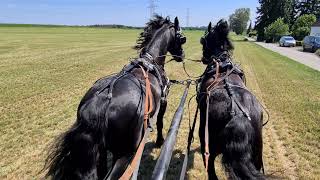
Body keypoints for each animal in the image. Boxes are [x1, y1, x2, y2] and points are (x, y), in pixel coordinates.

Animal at [43, 14, 186, 179]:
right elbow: (160, 122)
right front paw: (160, 141)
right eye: (182, 38)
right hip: (125, 154)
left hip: (101, 152)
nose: (182, 56)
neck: (150, 61)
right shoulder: (164, 102)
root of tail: (100, 103)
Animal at [198, 20, 264, 179]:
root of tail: (238, 115)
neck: (221, 64)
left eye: (204, 40)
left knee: (210, 169)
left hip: (206, 142)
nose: (203, 58)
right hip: (257, 157)